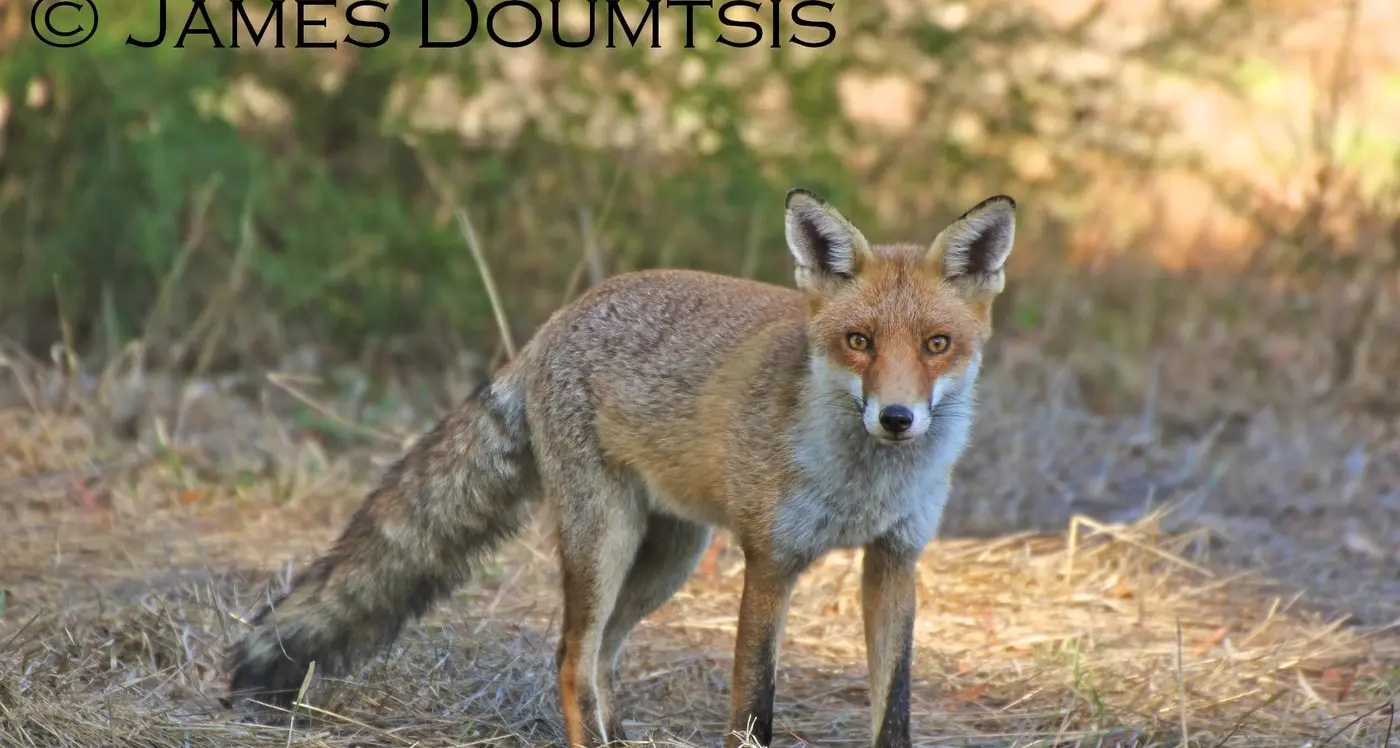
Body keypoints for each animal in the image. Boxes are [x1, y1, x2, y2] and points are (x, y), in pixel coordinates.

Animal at [222, 187, 1018, 748]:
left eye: (937, 344)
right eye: (859, 341)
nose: (896, 418)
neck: (862, 486)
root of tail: (554, 323)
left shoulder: (895, 560)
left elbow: (895, 713)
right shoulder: (770, 561)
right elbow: (753, 712)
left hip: (668, 555)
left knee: (603, 656)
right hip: (604, 540)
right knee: (572, 660)